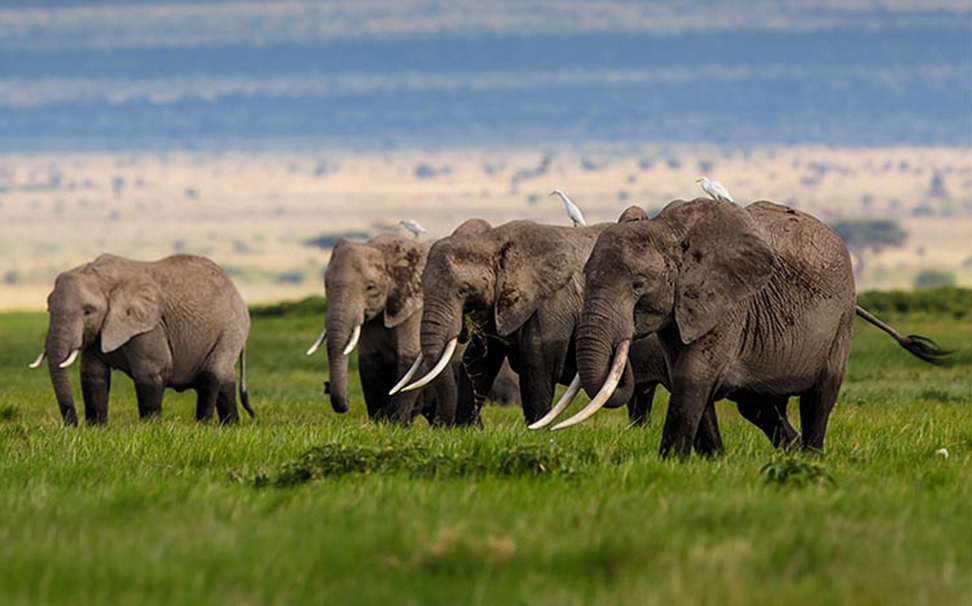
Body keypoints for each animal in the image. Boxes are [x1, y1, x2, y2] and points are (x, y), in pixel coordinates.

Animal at [29, 253, 252, 428]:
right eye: (48, 309)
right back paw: (230, 426)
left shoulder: (150, 327)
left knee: (211, 375)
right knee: (225, 383)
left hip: (232, 329)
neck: (103, 277)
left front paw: (150, 428)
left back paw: (202, 425)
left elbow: (150, 372)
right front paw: (96, 428)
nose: (72, 425)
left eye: (88, 312)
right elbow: (93, 375)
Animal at [306, 235, 454, 426]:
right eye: (326, 285)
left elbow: (411, 358)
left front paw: (396, 424)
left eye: (371, 287)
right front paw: (380, 423)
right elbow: (369, 363)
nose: (327, 386)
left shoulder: (416, 308)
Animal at [564, 201, 944, 460]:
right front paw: (713, 462)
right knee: (757, 406)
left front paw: (670, 462)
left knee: (819, 397)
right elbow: (687, 378)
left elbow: (692, 376)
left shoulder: (728, 304)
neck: (667, 230)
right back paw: (791, 452)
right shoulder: (681, 313)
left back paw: (811, 459)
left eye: (639, 285)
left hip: (841, 321)